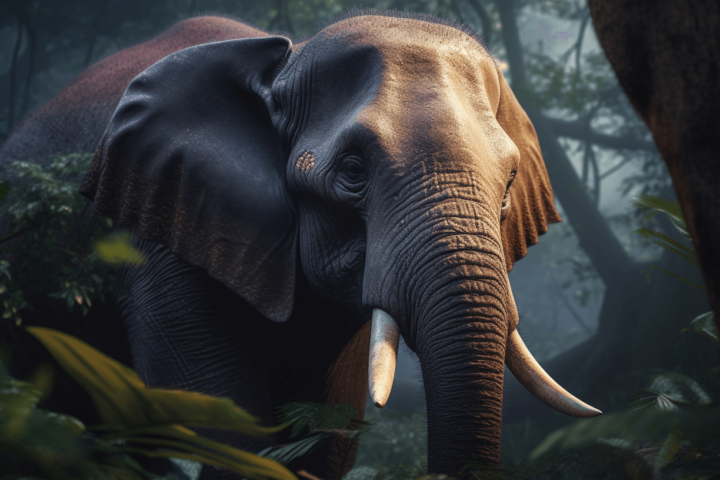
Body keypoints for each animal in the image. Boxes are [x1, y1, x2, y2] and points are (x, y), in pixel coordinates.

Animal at [0, 12, 601, 479]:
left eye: (509, 183)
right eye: (353, 171)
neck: (285, 64)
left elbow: (328, 431)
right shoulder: (159, 235)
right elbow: (223, 427)